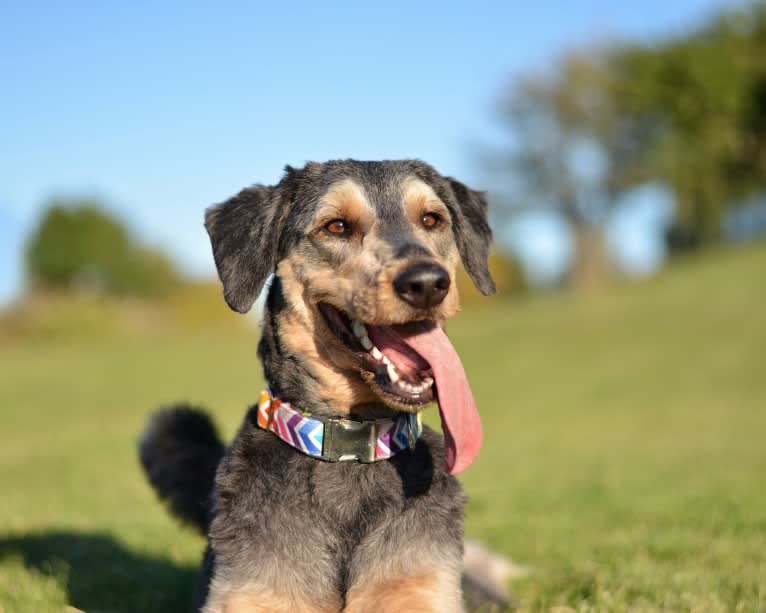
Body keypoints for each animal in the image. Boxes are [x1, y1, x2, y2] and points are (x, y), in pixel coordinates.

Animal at [141, 160, 504, 608]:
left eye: (431, 219)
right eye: (336, 226)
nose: (426, 283)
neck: (350, 445)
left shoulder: (419, 587)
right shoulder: (252, 593)